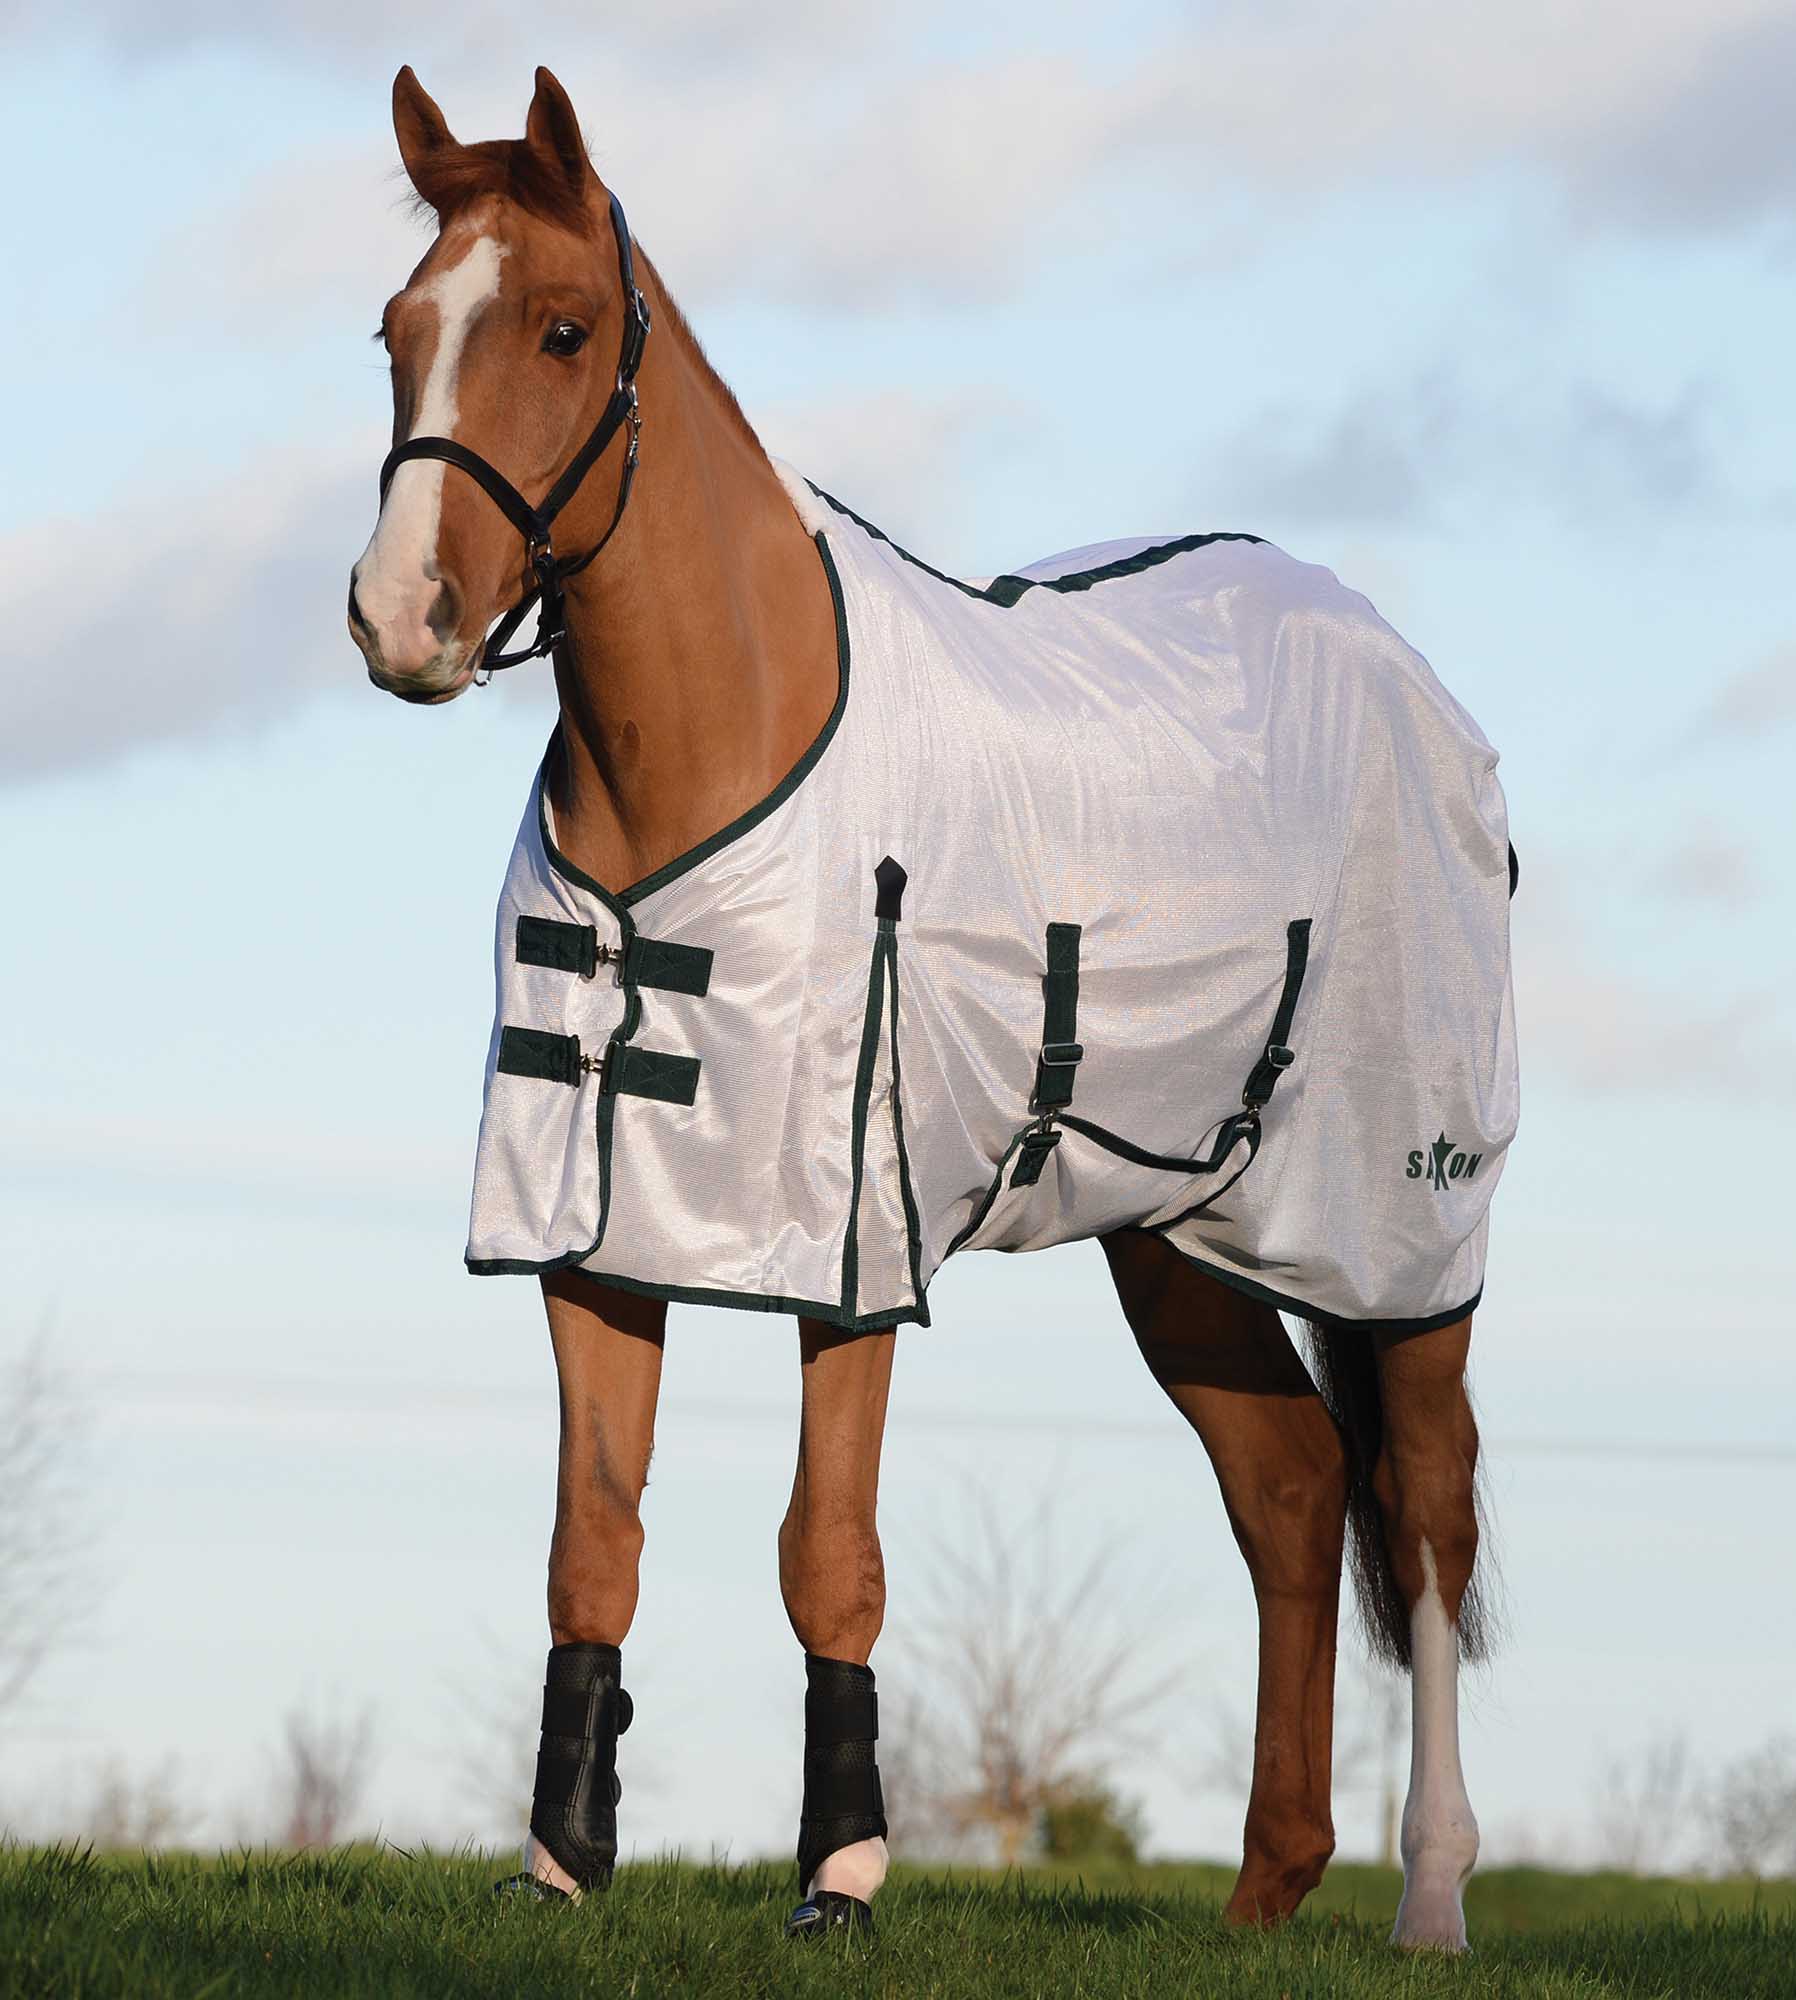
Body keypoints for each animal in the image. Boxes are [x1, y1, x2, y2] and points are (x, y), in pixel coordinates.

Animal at [347, 65, 1514, 1951]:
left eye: (563, 326)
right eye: (395, 332)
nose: (404, 617)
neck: (713, 750)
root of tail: (1410, 678)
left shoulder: (847, 1245)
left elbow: (827, 1553)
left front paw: (842, 1872)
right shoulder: (591, 1238)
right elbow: (593, 1544)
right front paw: (561, 1866)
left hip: (1400, 1236)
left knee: (1422, 1518)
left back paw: (1427, 1897)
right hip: (1177, 1233)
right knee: (1288, 1492)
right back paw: (1264, 1892)